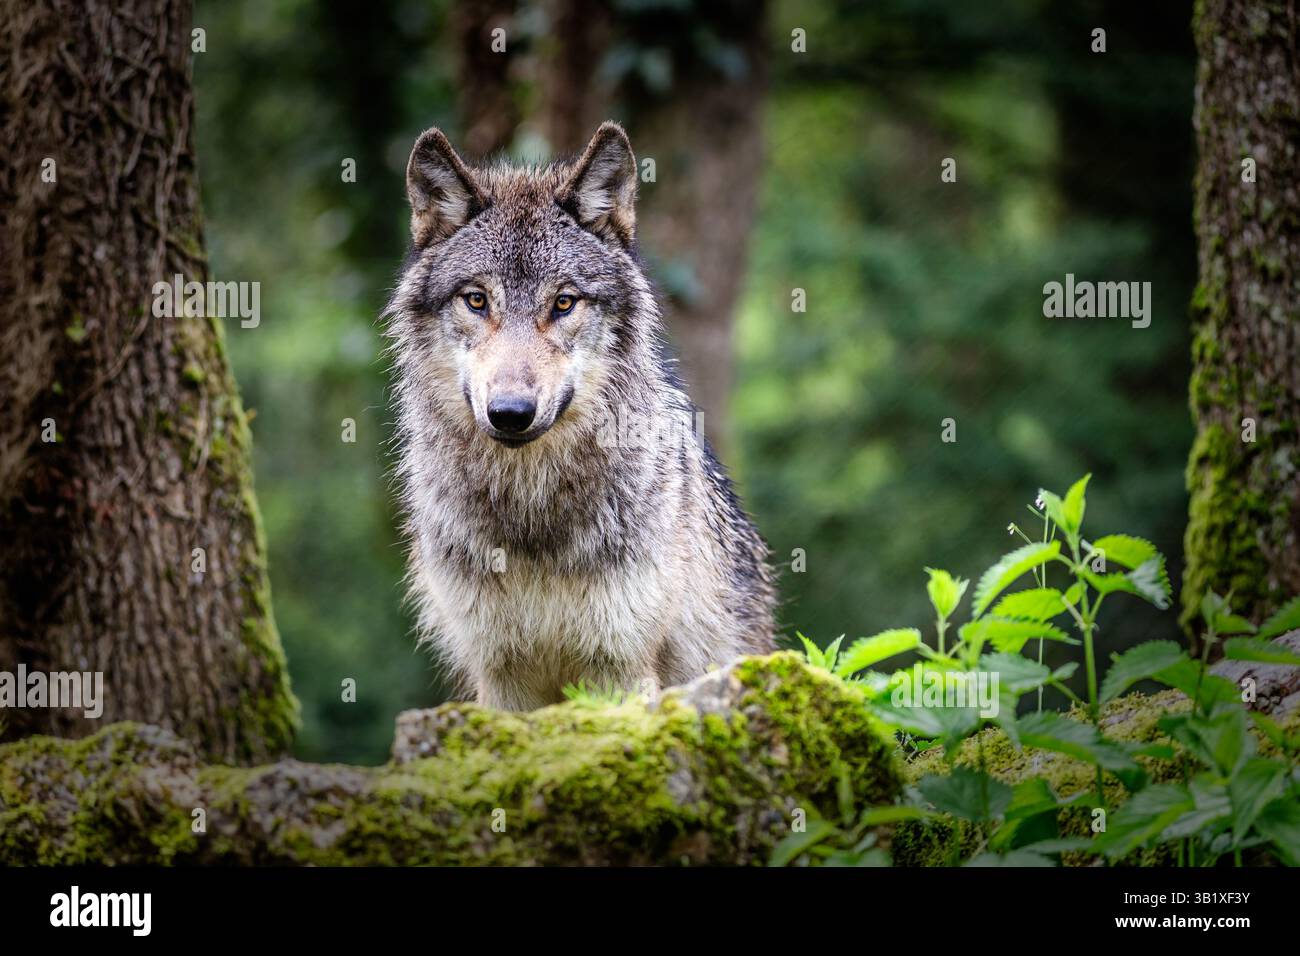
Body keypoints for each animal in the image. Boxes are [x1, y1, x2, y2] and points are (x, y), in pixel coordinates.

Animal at [385, 121, 776, 710]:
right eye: (476, 300)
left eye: (564, 303)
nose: (510, 413)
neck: (532, 514)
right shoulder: (500, 676)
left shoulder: (618, 666)